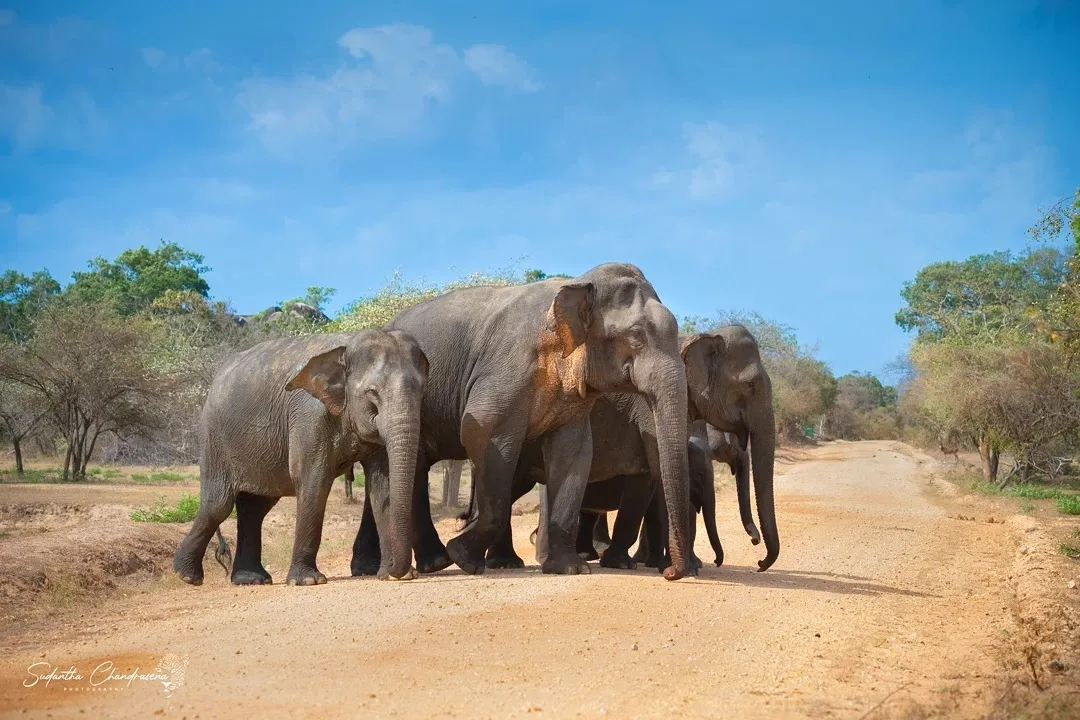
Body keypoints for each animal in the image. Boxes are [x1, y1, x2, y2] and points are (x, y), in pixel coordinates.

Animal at [171, 330, 425, 587]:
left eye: (422, 391)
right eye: (372, 393)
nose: (394, 567)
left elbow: (382, 484)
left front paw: (398, 576)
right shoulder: (308, 415)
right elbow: (314, 478)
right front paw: (308, 581)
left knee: (255, 508)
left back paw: (251, 579)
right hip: (214, 438)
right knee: (219, 504)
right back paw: (187, 576)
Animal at [349, 263, 695, 578]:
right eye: (636, 336)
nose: (669, 573)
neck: (577, 283)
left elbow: (573, 452)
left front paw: (569, 568)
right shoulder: (504, 373)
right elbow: (482, 434)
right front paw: (463, 558)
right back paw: (436, 563)